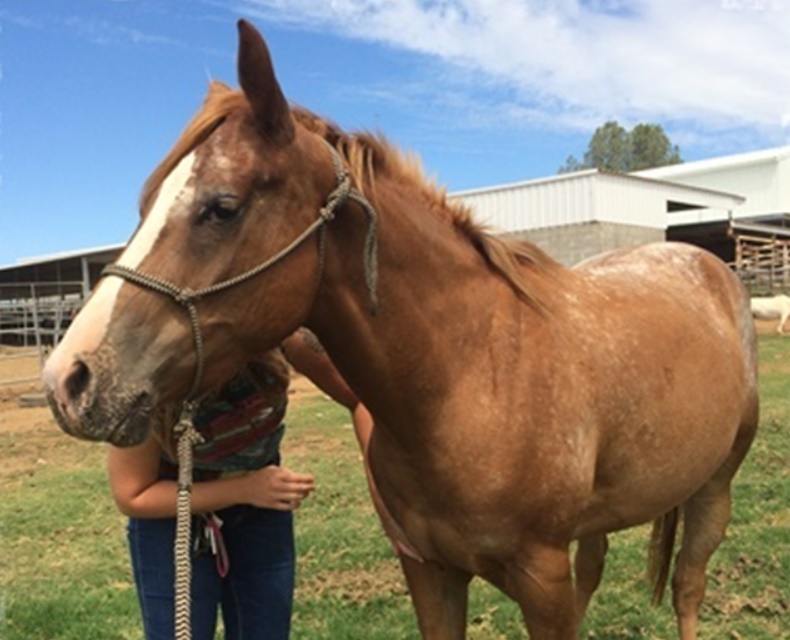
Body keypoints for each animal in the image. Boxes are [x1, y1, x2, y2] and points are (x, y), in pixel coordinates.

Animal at [42, 20, 759, 640]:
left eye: (222, 207)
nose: (69, 379)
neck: (471, 379)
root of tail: (706, 264)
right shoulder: (430, 573)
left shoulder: (542, 582)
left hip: (714, 490)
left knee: (688, 590)